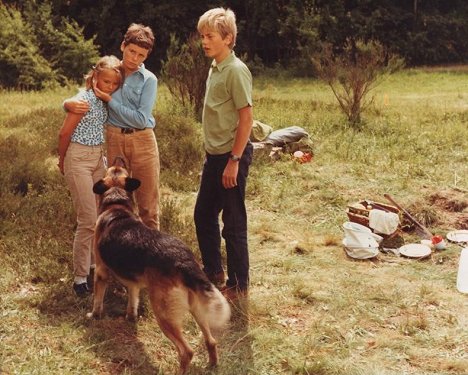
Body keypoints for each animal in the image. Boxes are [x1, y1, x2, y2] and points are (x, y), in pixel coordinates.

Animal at [89, 159, 230, 375]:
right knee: (211, 341)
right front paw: (131, 317)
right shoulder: (133, 284)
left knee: (186, 352)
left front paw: (94, 316)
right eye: (118, 168)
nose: (119, 158)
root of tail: (184, 261)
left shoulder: (101, 271)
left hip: (164, 314)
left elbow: (98, 301)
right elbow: (133, 301)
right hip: (197, 309)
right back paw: (213, 364)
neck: (117, 203)